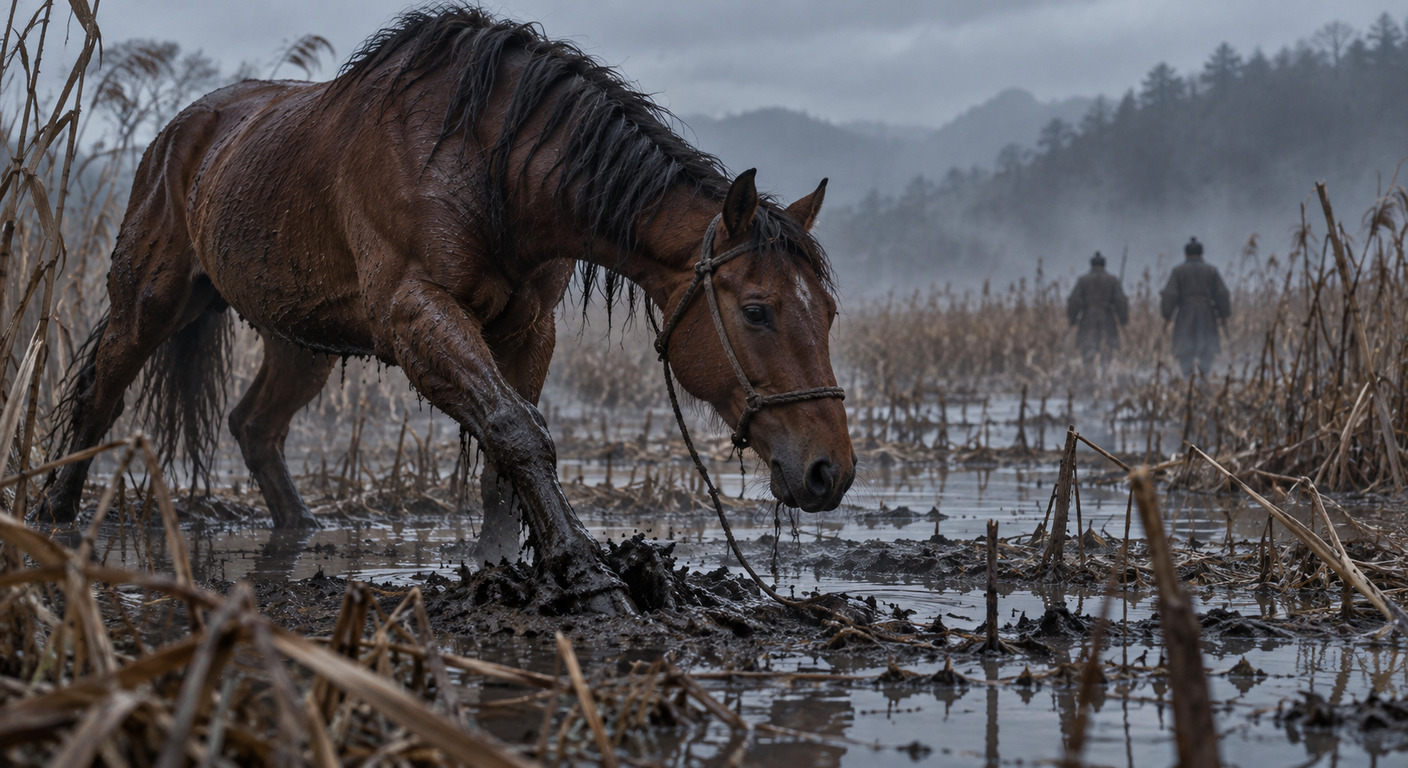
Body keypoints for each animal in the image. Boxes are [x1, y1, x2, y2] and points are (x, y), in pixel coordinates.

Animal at [42, 6, 856, 614]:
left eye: (828, 315)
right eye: (757, 310)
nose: (830, 472)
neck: (492, 163)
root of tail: (182, 133)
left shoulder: (526, 330)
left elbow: (506, 452)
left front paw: (503, 567)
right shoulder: (415, 314)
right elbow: (516, 432)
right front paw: (588, 578)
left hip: (298, 338)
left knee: (255, 426)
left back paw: (303, 529)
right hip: (151, 300)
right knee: (100, 394)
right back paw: (53, 519)